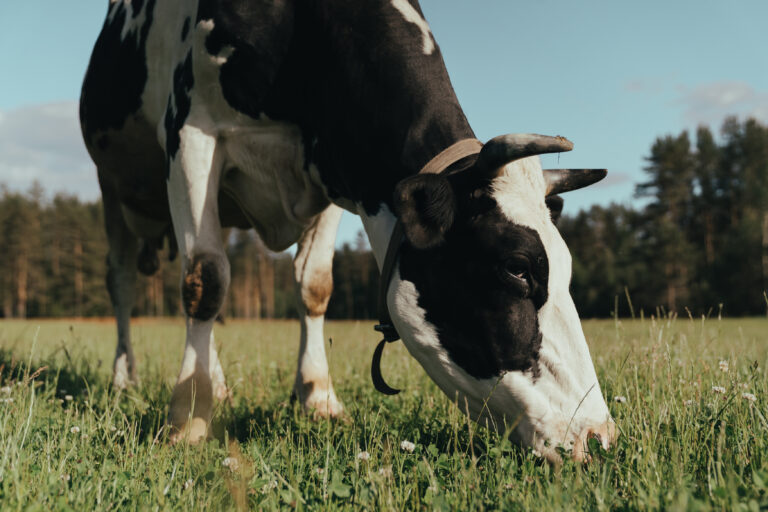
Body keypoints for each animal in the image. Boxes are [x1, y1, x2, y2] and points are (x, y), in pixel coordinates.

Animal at [80, 0, 615, 462]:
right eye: (516, 268)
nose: (598, 435)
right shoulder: (191, 133)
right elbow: (204, 280)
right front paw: (188, 416)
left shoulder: (336, 171)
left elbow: (314, 286)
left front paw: (318, 398)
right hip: (112, 185)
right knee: (127, 282)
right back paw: (126, 379)